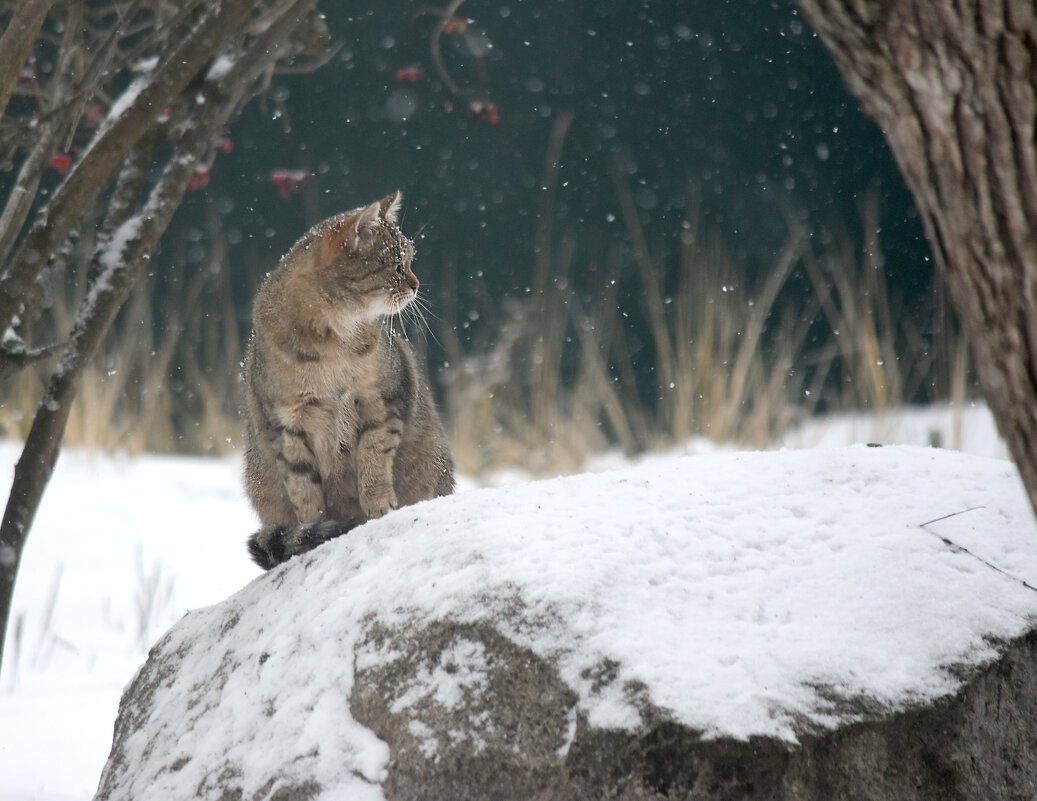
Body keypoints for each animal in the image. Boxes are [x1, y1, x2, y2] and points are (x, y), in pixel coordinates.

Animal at [244, 191, 456, 568]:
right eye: (398, 265)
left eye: (410, 260)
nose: (416, 285)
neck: (331, 343)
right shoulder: (284, 425)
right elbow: (303, 489)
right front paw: (312, 531)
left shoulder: (384, 398)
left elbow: (373, 453)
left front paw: (378, 504)